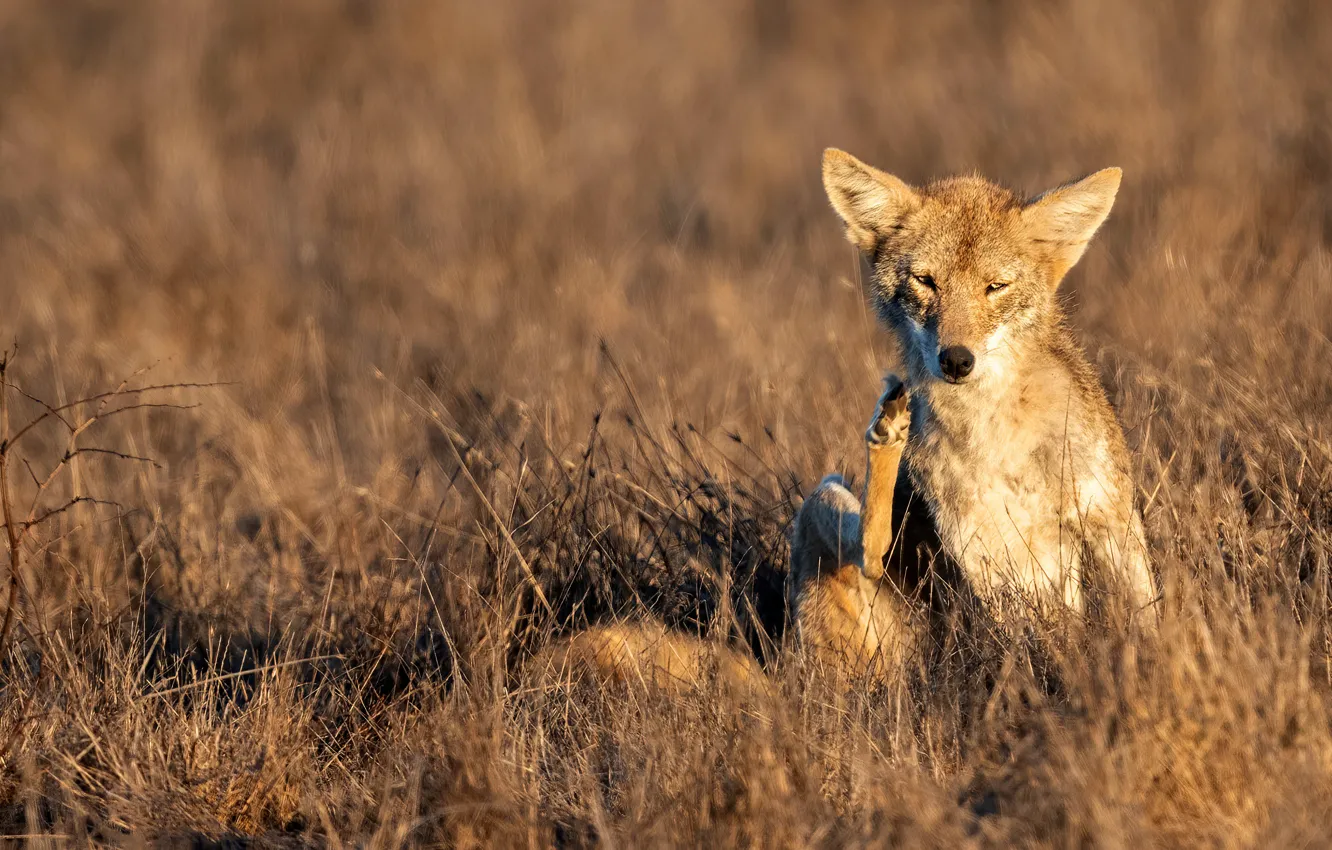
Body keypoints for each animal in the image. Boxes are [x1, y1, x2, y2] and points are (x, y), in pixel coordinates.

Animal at [799, 148, 1158, 625]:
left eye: (995, 287)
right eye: (926, 281)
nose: (956, 360)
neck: (996, 436)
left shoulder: (1111, 521)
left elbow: (1145, 617)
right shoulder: (979, 551)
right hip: (828, 498)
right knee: (870, 552)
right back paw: (887, 430)